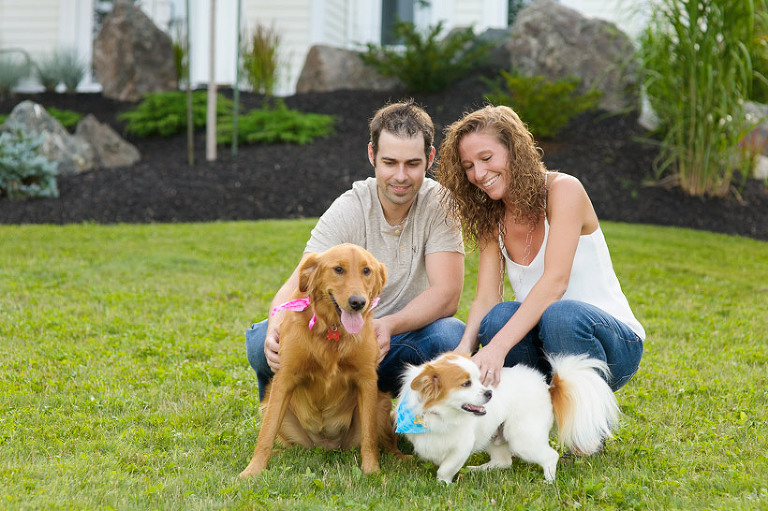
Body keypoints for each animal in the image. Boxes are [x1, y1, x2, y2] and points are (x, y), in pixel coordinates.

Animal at [240, 242, 402, 478]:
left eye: (366, 270)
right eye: (338, 269)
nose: (358, 302)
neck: (332, 329)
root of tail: (326, 446)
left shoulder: (366, 380)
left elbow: (369, 437)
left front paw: (372, 470)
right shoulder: (284, 379)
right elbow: (266, 433)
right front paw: (253, 470)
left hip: (381, 404)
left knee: (387, 444)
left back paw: (402, 457)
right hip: (270, 406)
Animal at [396, 352, 616, 484]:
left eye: (481, 380)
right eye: (466, 383)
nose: (489, 393)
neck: (441, 414)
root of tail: (548, 388)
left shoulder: (462, 447)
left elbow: (446, 468)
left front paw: (442, 484)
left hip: (521, 438)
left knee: (550, 456)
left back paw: (548, 481)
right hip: (492, 435)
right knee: (503, 462)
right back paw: (479, 469)